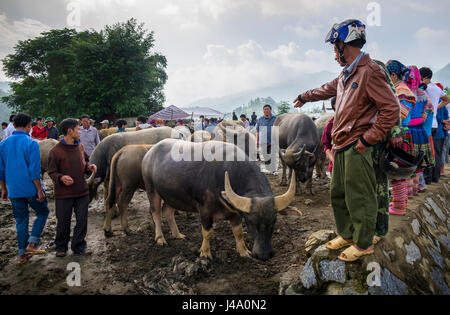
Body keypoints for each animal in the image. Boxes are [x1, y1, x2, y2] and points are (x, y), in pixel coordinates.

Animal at [142, 140, 300, 262]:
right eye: (250, 222)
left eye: (274, 221)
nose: (264, 255)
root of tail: (149, 154)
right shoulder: (205, 210)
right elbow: (207, 232)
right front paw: (205, 253)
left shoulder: (235, 212)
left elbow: (238, 232)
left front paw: (243, 251)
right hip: (152, 191)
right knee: (155, 213)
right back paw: (160, 239)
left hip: (171, 196)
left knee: (168, 211)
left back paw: (177, 234)